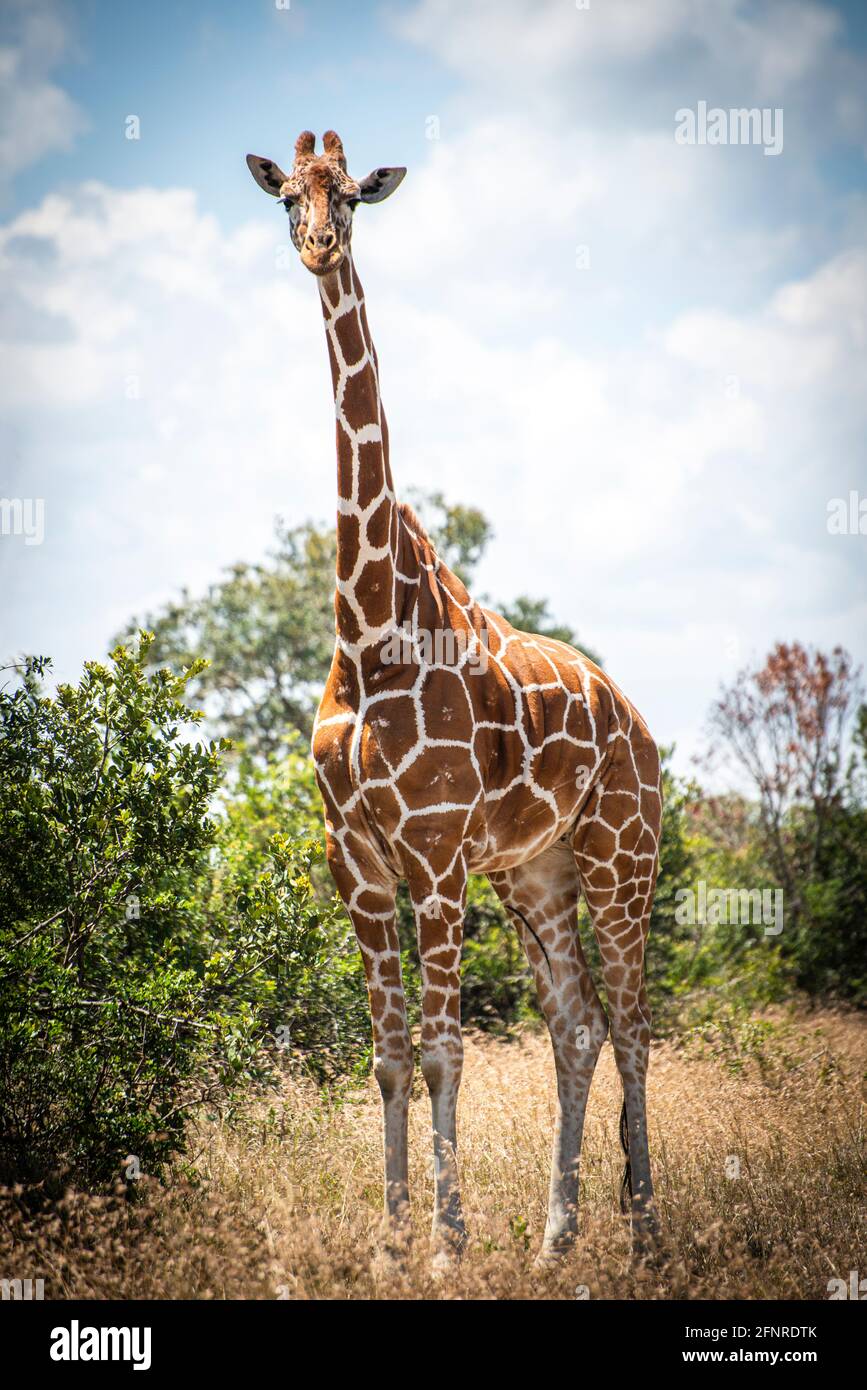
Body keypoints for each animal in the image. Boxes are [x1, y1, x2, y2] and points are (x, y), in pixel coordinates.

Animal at [246, 131, 663, 1268]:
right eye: (287, 198)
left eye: (353, 195)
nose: (320, 244)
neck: (366, 628)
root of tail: (640, 723)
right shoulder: (355, 859)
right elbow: (388, 1054)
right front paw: (390, 1243)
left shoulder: (433, 857)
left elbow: (442, 1051)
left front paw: (445, 1242)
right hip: (536, 875)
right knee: (577, 1023)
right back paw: (559, 1239)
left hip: (622, 857)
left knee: (633, 1024)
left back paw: (645, 1231)